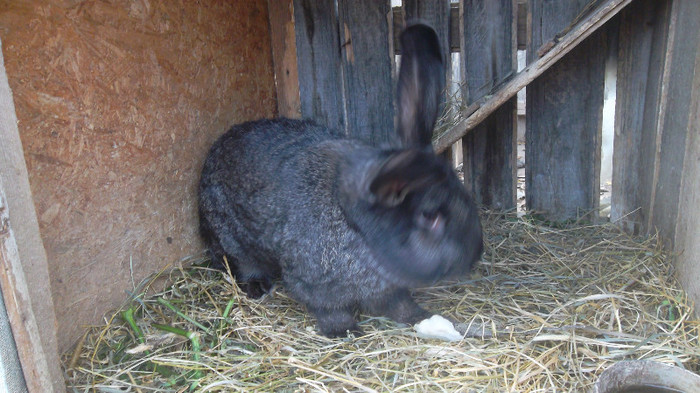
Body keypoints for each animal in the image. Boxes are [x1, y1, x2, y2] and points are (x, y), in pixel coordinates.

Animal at [197, 23, 482, 336]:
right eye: (430, 217)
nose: (476, 254)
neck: (358, 229)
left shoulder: (387, 289)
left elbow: (399, 305)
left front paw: (419, 316)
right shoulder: (315, 284)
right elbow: (330, 309)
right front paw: (345, 331)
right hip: (232, 236)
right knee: (242, 261)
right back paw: (258, 286)